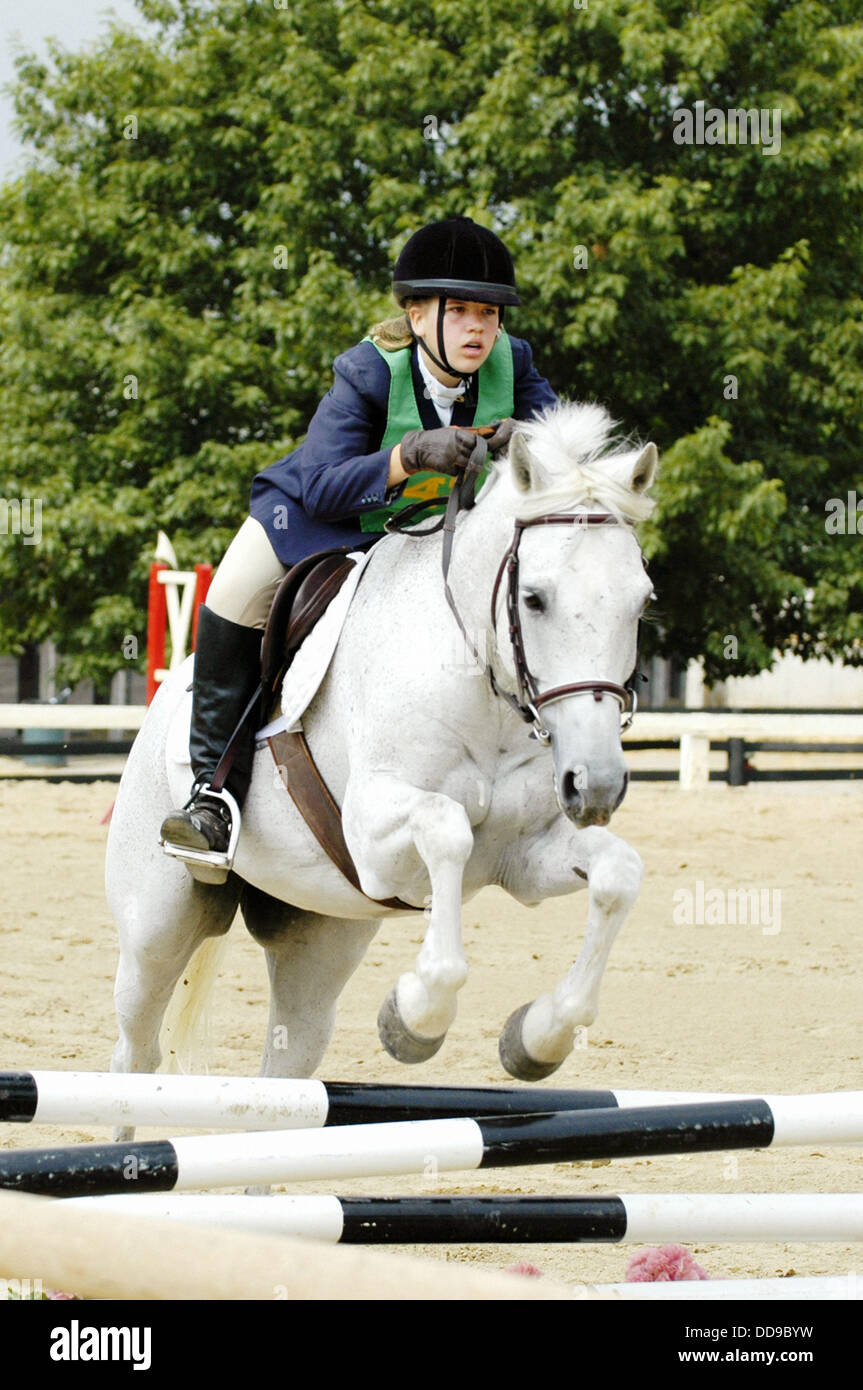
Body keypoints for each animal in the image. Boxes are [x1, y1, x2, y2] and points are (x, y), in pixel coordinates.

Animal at [106, 401, 657, 1110]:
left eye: (642, 600)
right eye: (534, 598)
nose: (596, 787)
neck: (481, 682)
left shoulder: (523, 858)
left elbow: (618, 875)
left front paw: (537, 1039)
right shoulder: (373, 834)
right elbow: (448, 830)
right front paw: (416, 1019)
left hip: (320, 933)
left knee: (286, 1071)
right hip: (156, 927)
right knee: (135, 1055)